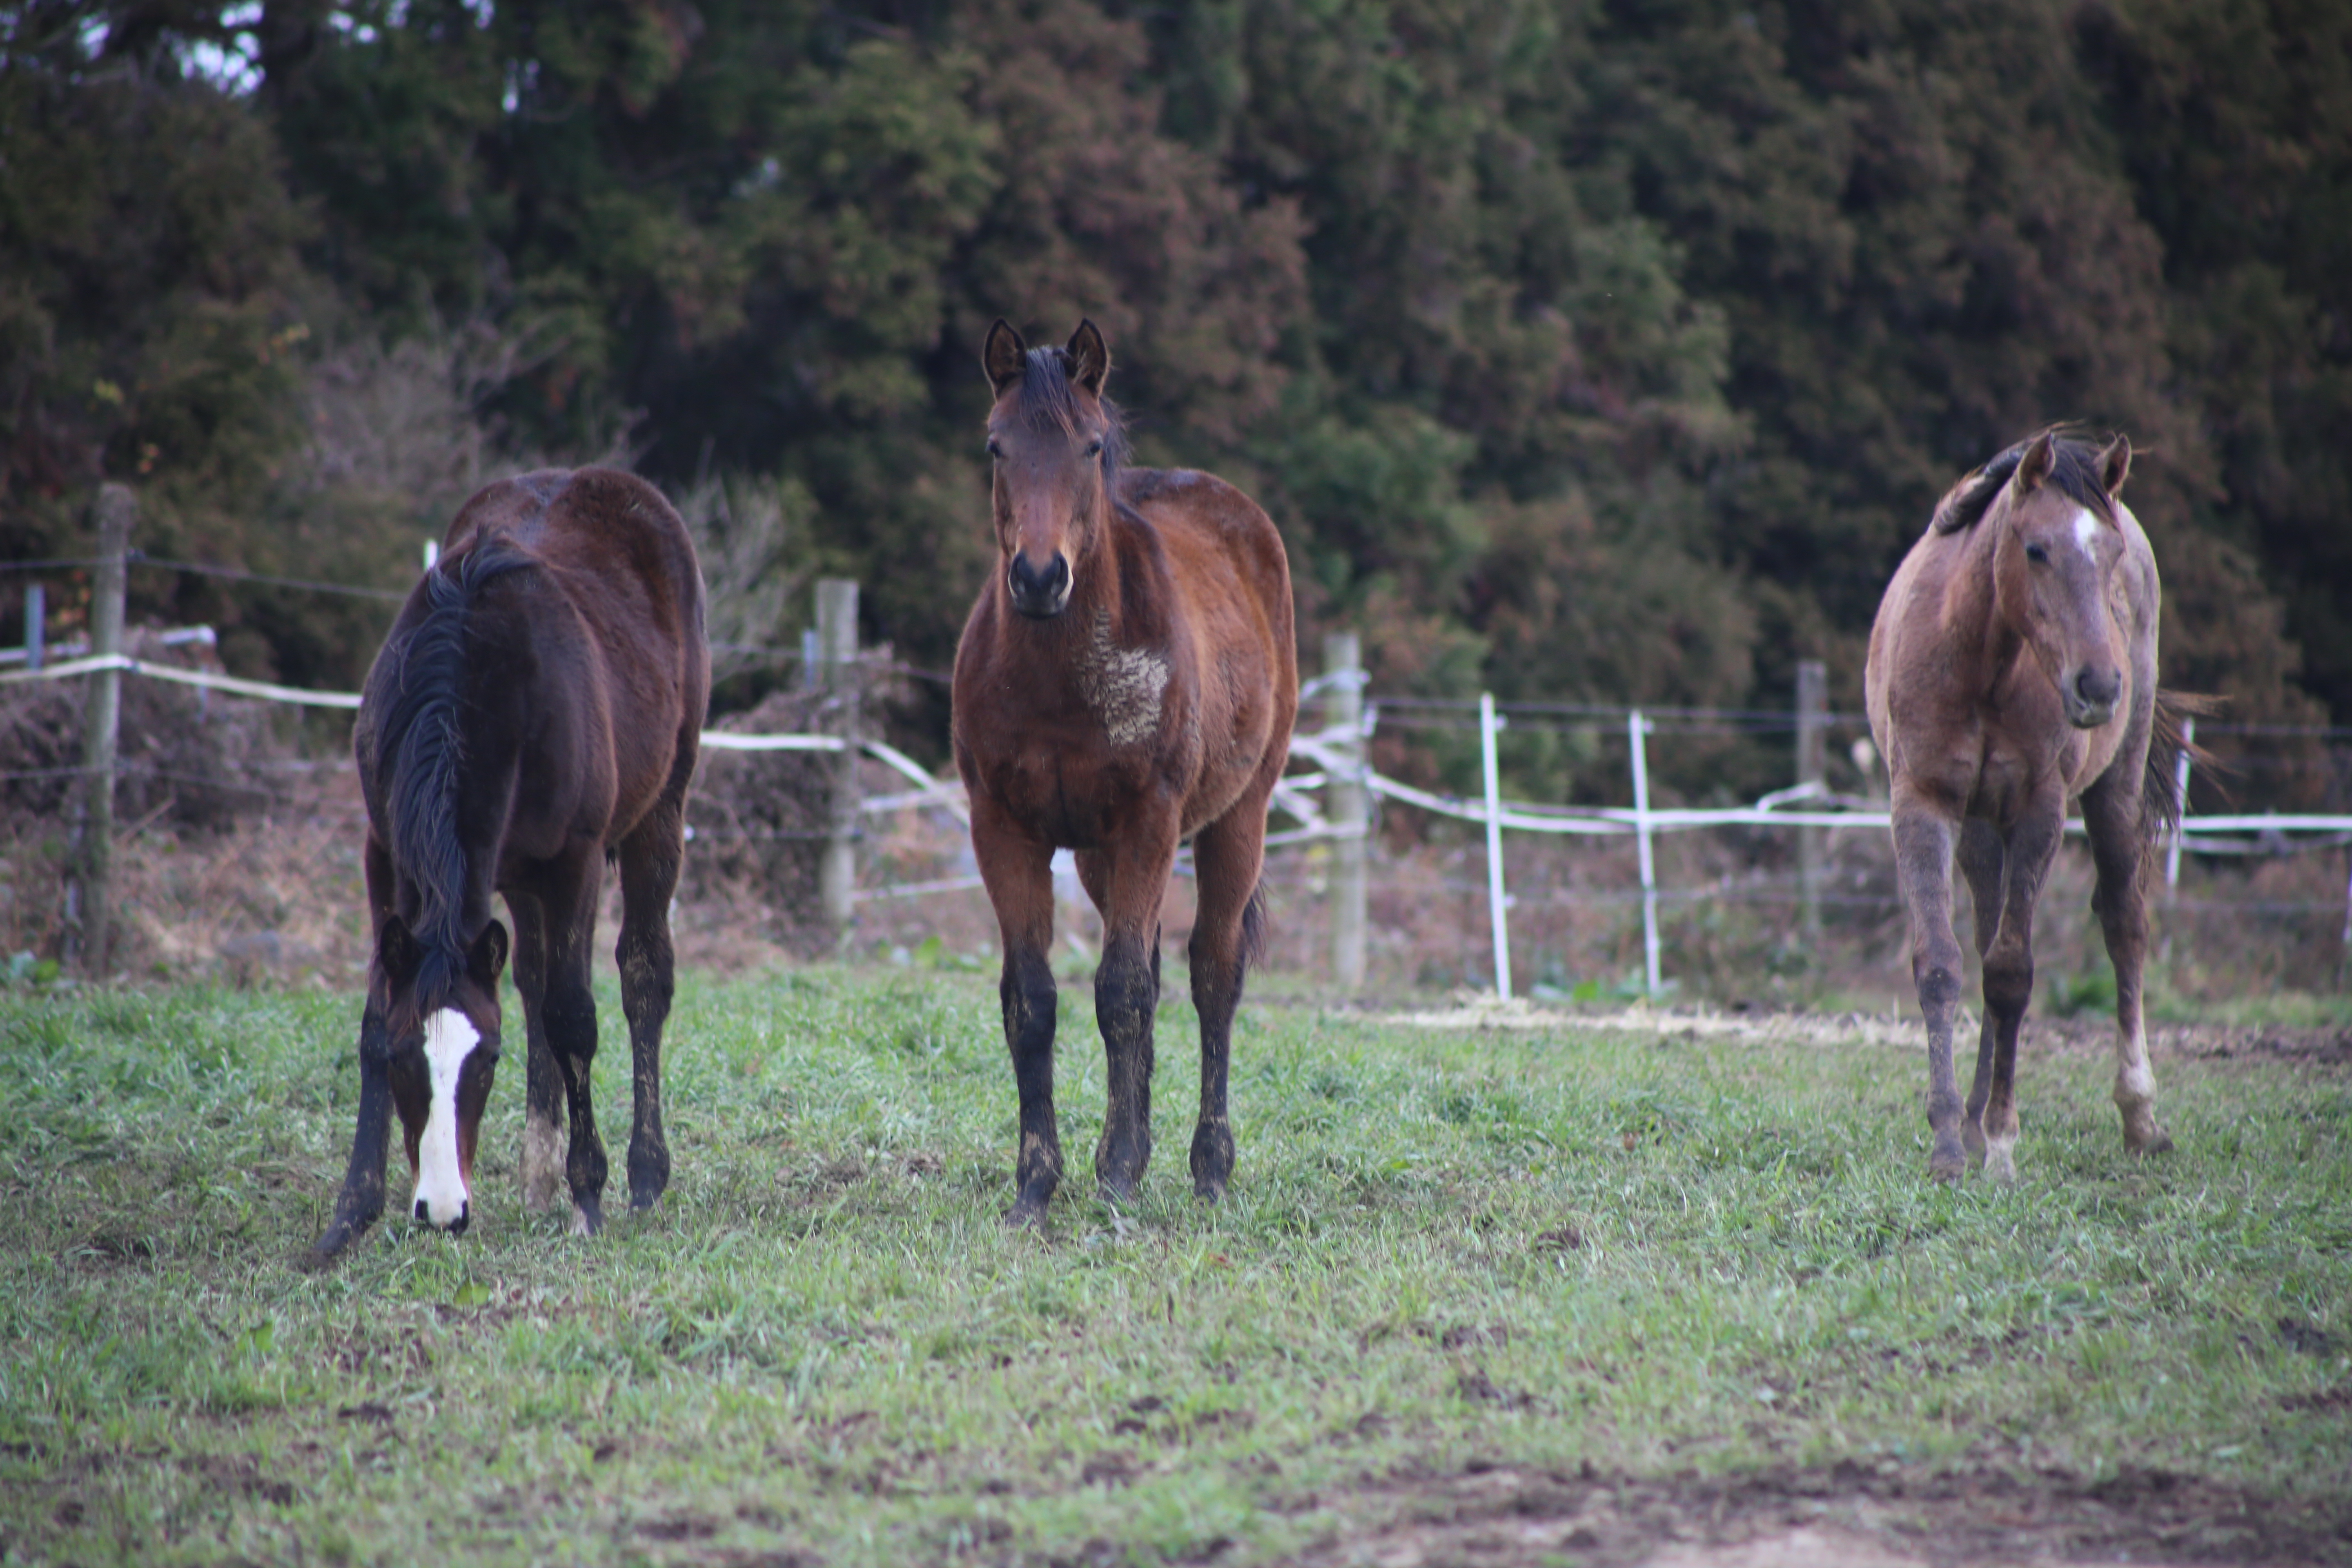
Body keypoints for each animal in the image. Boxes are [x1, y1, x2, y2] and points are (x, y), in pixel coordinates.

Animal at [308, 465, 706, 1260]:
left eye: (486, 1059)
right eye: (406, 1058)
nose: (442, 1210)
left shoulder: (576, 863)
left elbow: (573, 1015)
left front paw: (590, 1194)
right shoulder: (383, 852)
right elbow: (379, 1014)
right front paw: (351, 1213)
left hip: (659, 813)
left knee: (643, 975)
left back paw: (644, 1176)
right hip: (515, 875)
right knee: (528, 973)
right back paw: (538, 1175)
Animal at [945, 319, 1298, 1222]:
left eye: (1091, 445)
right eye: (995, 444)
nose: (1039, 577)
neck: (1059, 676)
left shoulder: (1149, 824)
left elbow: (1124, 995)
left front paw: (1116, 1180)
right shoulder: (1003, 830)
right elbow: (1036, 1001)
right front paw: (1038, 1185)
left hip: (1237, 818)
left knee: (1211, 976)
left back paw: (1208, 1168)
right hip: (1099, 858)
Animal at [1862, 425, 2192, 1175]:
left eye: (2111, 556)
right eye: (2036, 550)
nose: (2099, 686)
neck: (1978, 661)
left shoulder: (2041, 810)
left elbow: (2011, 975)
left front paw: (2002, 1144)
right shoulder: (1922, 805)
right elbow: (1942, 963)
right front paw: (1950, 1142)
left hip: (2113, 790)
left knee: (2124, 927)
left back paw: (2140, 1116)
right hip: (1981, 831)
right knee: (1988, 932)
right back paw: (1973, 1117)